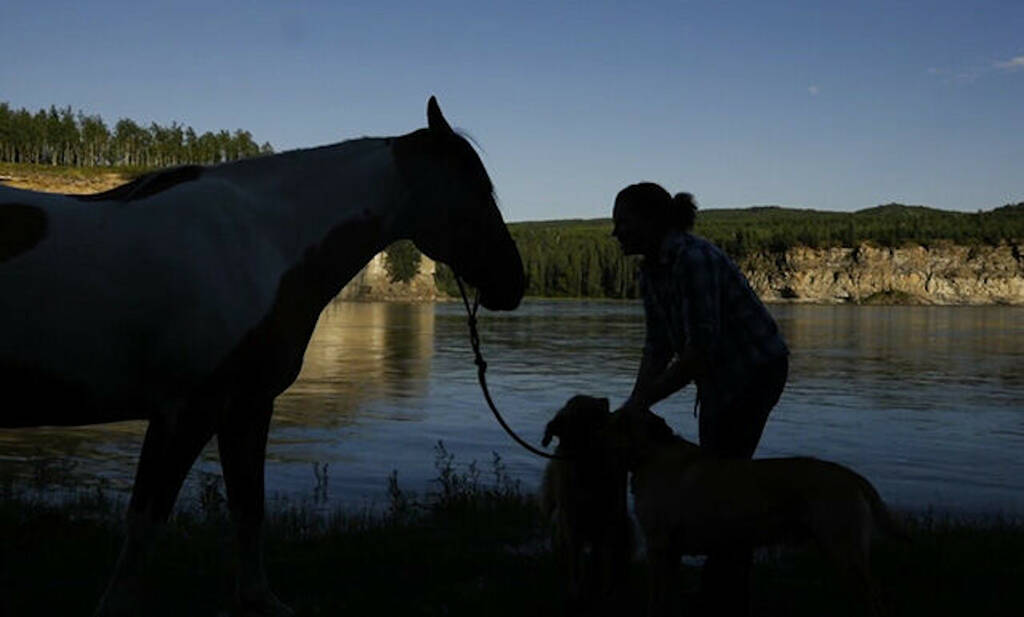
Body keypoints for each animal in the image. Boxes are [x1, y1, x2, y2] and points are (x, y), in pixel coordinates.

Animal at [0, 98, 524, 613]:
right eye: (477, 189)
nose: (515, 281)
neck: (260, 246)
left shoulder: (246, 405)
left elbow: (248, 508)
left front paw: (257, 599)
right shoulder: (188, 409)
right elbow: (147, 517)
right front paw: (117, 607)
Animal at [544, 399, 630, 613]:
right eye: (584, 405)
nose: (606, 400)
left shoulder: (607, 523)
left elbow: (603, 562)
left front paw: (605, 594)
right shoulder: (572, 524)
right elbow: (576, 562)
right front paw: (576, 593)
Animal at [606, 405, 905, 617]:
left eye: (618, 422)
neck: (650, 453)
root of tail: (851, 476)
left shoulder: (658, 546)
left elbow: (655, 599)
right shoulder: (672, 551)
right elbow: (668, 597)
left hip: (844, 550)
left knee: (875, 599)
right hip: (837, 550)